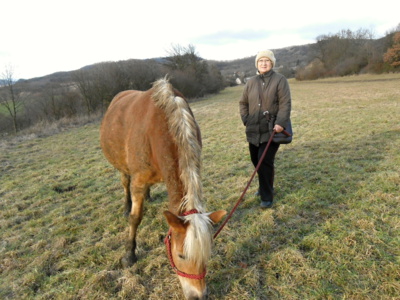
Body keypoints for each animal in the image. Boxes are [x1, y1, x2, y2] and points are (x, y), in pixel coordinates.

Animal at [99, 77, 227, 300]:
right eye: (181, 255)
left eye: (207, 255)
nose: (198, 296)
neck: (158, 129)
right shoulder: (138, 180)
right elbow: (135, 218)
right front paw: (129, 255)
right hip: (122, 167)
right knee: (125, 184)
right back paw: (126, 205)